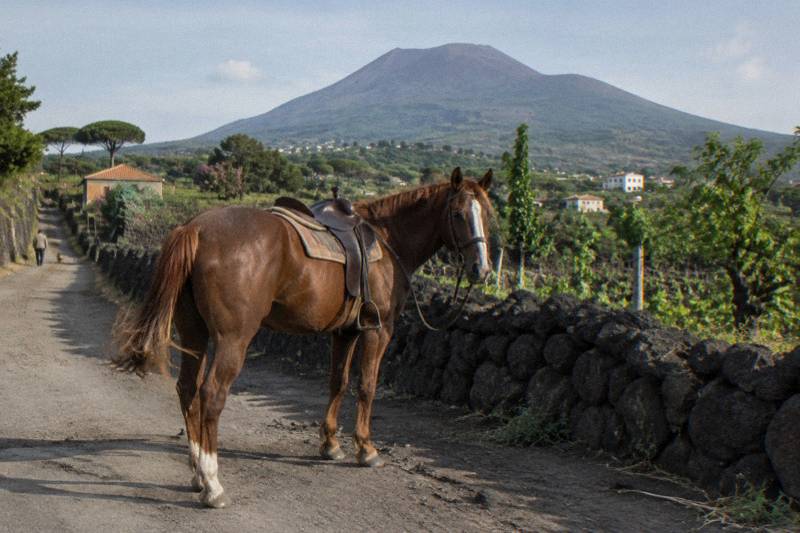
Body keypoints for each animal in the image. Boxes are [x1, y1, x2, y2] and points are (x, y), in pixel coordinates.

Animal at [114, 167, 494, 508]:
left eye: (487, 215)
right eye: (458, 214)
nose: (483, 269)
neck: (388, 240)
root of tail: (195, 228)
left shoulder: (346, 331)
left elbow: (338, 382)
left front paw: (330, 445)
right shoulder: (379, 329)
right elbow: (367, 386)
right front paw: (366, 449)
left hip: (194, 330)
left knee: (187, 389)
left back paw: (196, 472)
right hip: (232, 339)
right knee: (211, 395)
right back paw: (212, 483)